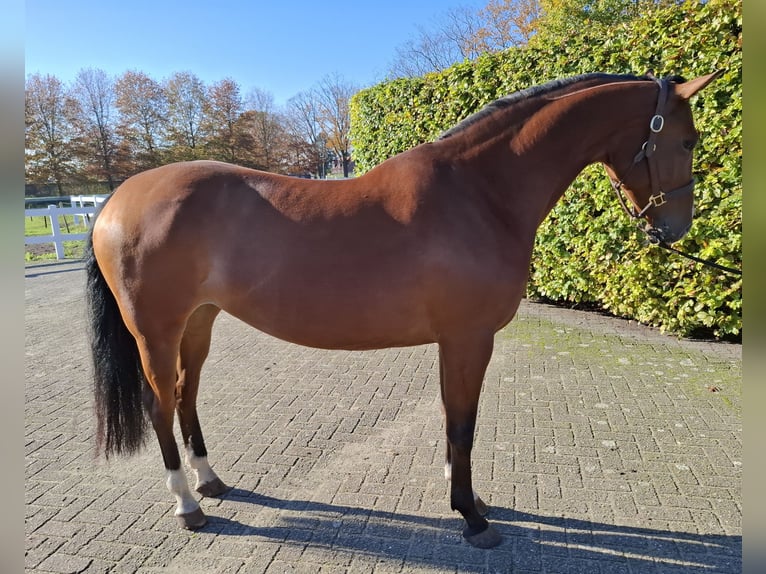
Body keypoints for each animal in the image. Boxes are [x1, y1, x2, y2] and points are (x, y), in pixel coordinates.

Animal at [87, 72, 724, 548]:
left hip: (199, 321)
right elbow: (463, 422)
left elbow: (451, 416)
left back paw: (210, 481)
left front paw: (467, 497)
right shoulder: (469, 337)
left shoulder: (454, 340)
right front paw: (472, 517)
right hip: (156, 330)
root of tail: (116, 200)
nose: (675, 229)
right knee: (158, 404)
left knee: (185, 395)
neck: (478, 192)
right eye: (688, 141)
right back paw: (187, 505)